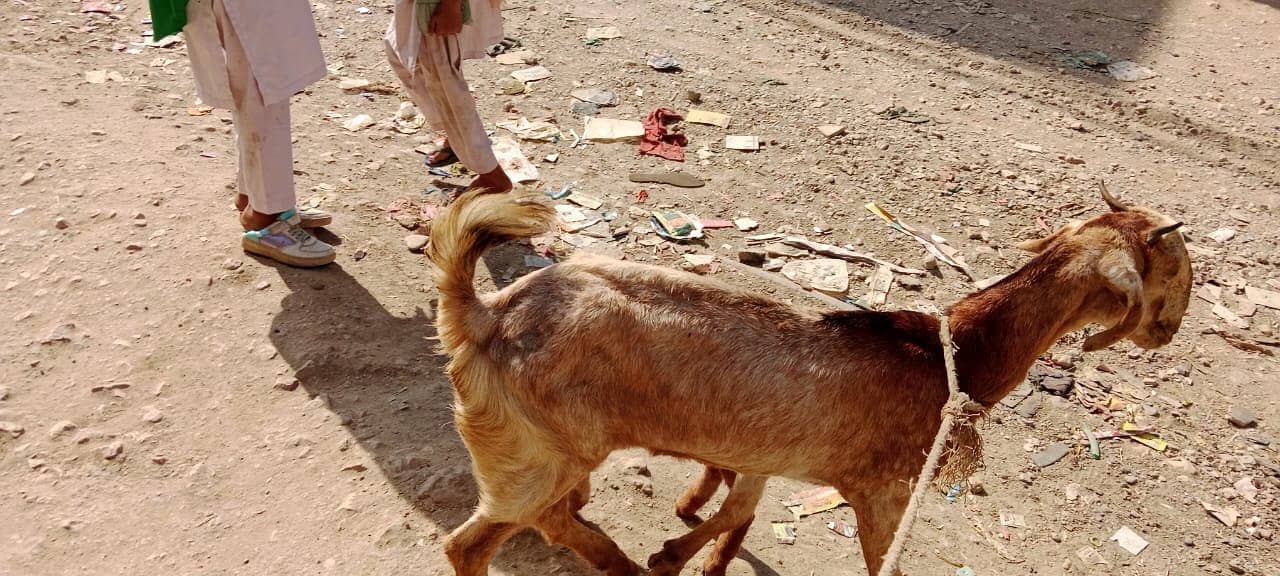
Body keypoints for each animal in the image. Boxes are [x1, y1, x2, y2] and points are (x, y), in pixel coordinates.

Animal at [427, 185, 1187, 576]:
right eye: (1174, 266)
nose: (1169, 330)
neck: (952, 353)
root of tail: (485, 313)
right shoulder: (883, 491)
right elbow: (883, 565)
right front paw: (674, 552)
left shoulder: (766, 452)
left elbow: (738, 511)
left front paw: (688, 548)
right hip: (537, 450)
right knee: (478, 539)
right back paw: (612, 560)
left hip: (544, 449)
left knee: (542, 517)